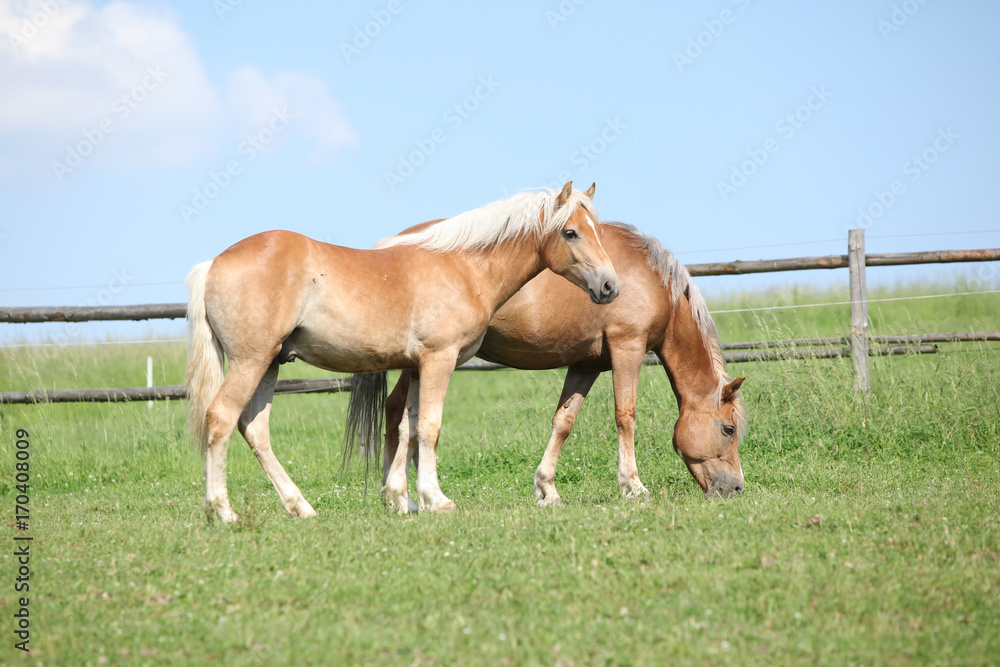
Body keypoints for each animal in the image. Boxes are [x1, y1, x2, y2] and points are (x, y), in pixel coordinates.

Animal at [187, 183, 616, 520]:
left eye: (597, 231)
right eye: (571, 233)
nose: (611, 286)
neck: (464, 267)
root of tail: (213, 264)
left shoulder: (416, 366)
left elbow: (407, 427)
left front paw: (404, 499)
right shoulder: (439, 360)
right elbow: (429, 427)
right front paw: (435, 499)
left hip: (271, 364)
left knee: (254, 429)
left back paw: (300, 506)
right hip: (251, 362)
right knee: (221, 418)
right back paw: (222, 510)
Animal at [358, 222, 744, 504]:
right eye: (729, 429)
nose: (737, 488)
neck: (653, 281)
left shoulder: (586, 366)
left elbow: (563, 422)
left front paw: (547, 489)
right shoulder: (628, 347)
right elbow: (626, 416)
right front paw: (632, 486)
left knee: (396, 410)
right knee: (399, 411)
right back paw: (401, 492)